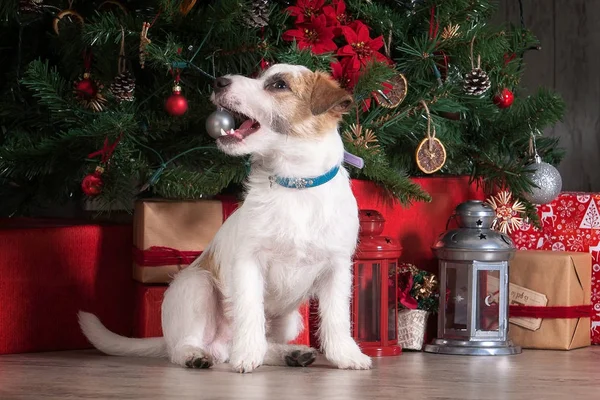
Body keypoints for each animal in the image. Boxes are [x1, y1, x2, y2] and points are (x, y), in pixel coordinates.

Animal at [79, 64, 370, 374]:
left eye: (279, 85)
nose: (219, 81)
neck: (295, 185)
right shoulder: (249, 263)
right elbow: (250, 311)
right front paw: (247, 356)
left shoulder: (336, 269)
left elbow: (337, 318)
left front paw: (347, 355)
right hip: (198, 286)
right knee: (184, 347)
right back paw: (196, 355)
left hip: (290, 320)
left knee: (258, 343)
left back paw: (290, 354)